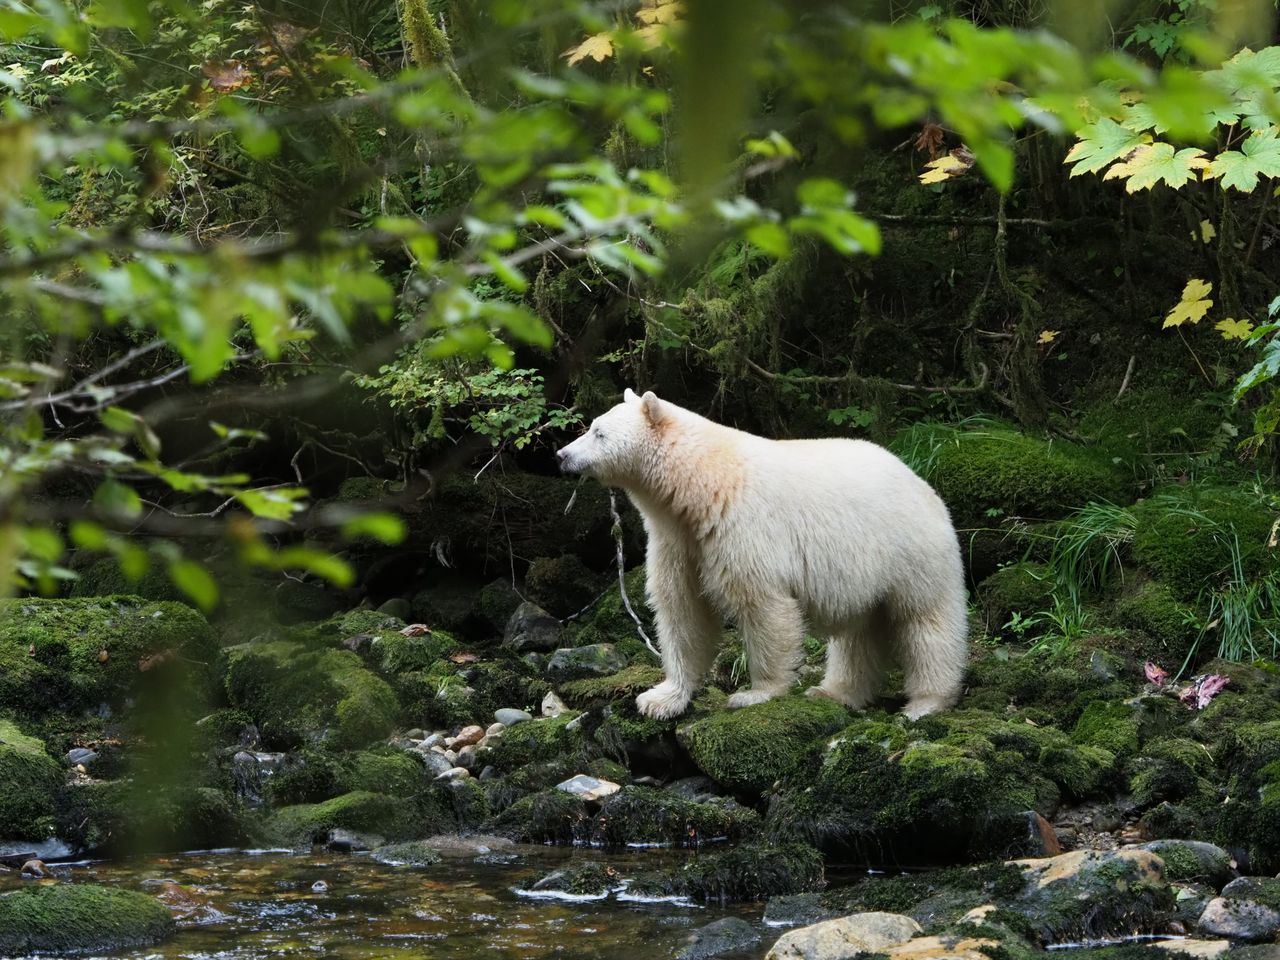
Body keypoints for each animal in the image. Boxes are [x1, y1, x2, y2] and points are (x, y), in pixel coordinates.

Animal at [555, 391, 962, 721]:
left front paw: (755, 694)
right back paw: (833, 691)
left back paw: (925, 701)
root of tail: (921, 481)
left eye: (598, 432)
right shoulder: (678, 540)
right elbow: (681, 609)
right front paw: (661, 698)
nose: (562, 454)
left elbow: (762, 604)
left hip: (910, 551)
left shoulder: (742, 526)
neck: (699, 485)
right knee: (857, 633)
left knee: (925, 622)